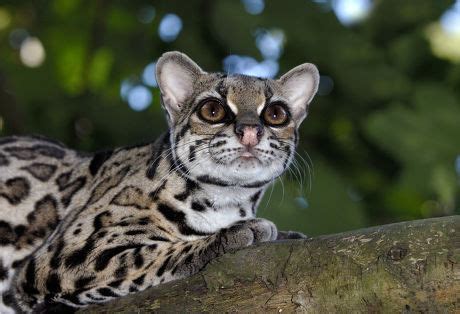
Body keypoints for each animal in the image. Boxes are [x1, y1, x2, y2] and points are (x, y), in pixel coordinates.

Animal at [0, 51, 318, 312]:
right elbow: (147, 255)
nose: (250, 131)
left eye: (276, 114)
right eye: (212, 110)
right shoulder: (59, 258)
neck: (225, 199)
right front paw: (230, 235)